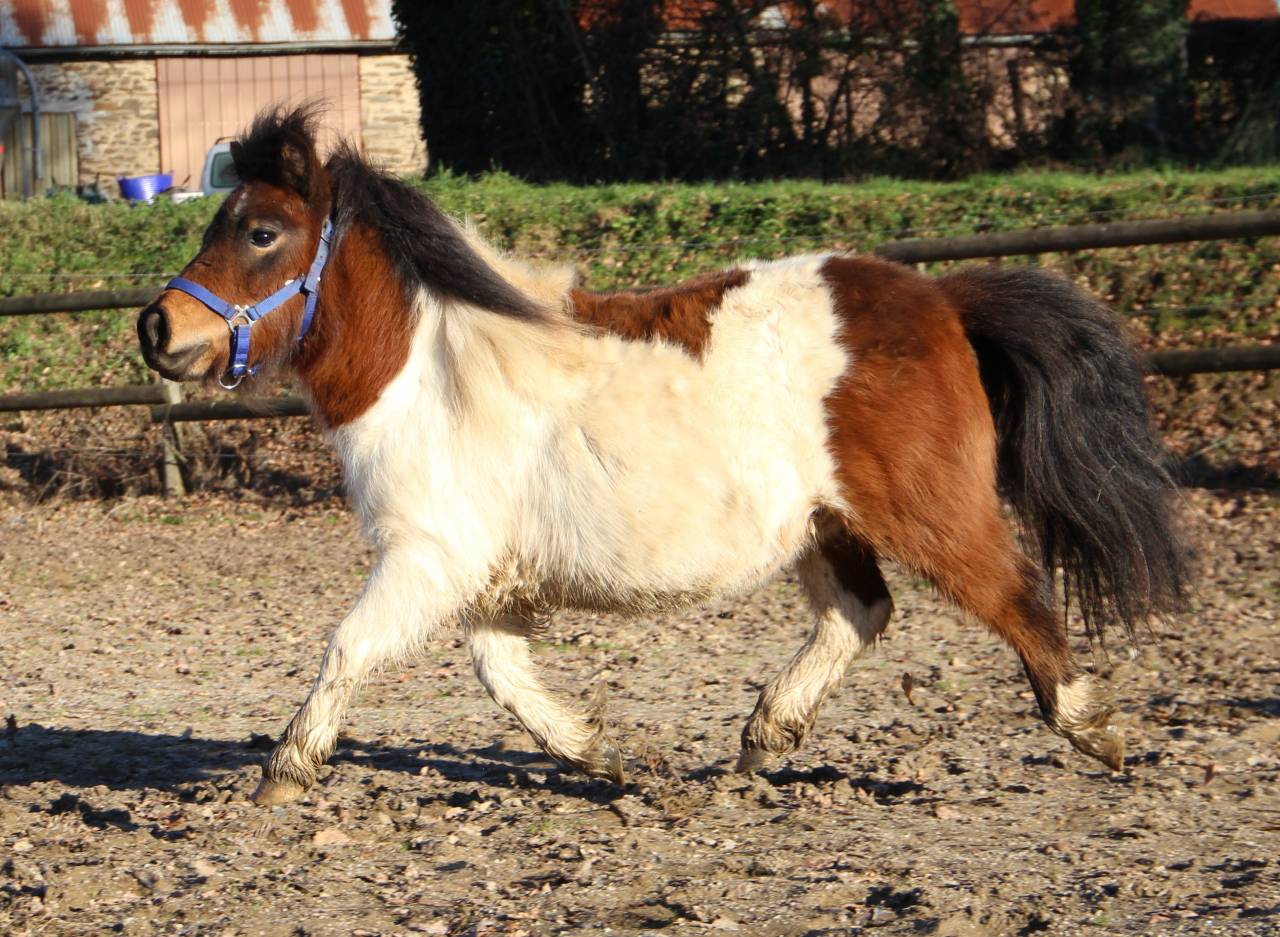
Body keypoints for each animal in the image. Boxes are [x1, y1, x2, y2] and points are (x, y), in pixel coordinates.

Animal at [137, 108, 1187, 807]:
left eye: (261, 232)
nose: (158, 328)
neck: (433, 368)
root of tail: (941, 300)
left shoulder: (426, 556)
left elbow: (349, 646)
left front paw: (285, 770)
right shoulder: (484, 576)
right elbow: (504, 676)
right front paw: (600, 756)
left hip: (934, 513)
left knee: (1017, 596)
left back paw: (1096, 732)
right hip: (826, 525)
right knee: (860, 612)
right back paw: (764, 736)